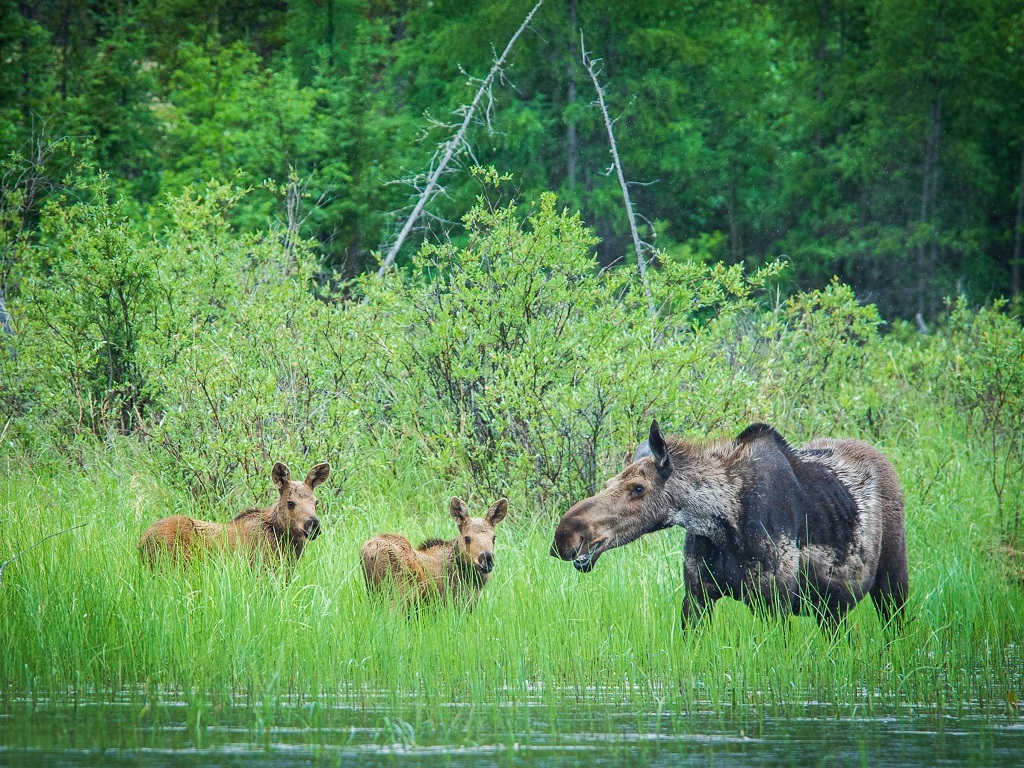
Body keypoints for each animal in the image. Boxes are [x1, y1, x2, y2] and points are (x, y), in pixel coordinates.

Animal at [362, 499, 509, 614]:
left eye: (493, 537)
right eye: (467, 538)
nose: (487, 559)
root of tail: (368, 551)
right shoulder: (457, 604)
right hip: (396, 595)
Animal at [548, 421, 909, 630]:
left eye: (638, 488)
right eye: (608, 482)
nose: (566, 535)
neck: (721, 523)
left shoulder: (774, 601)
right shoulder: (696, 596)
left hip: (892, 582)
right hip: (831, 610)